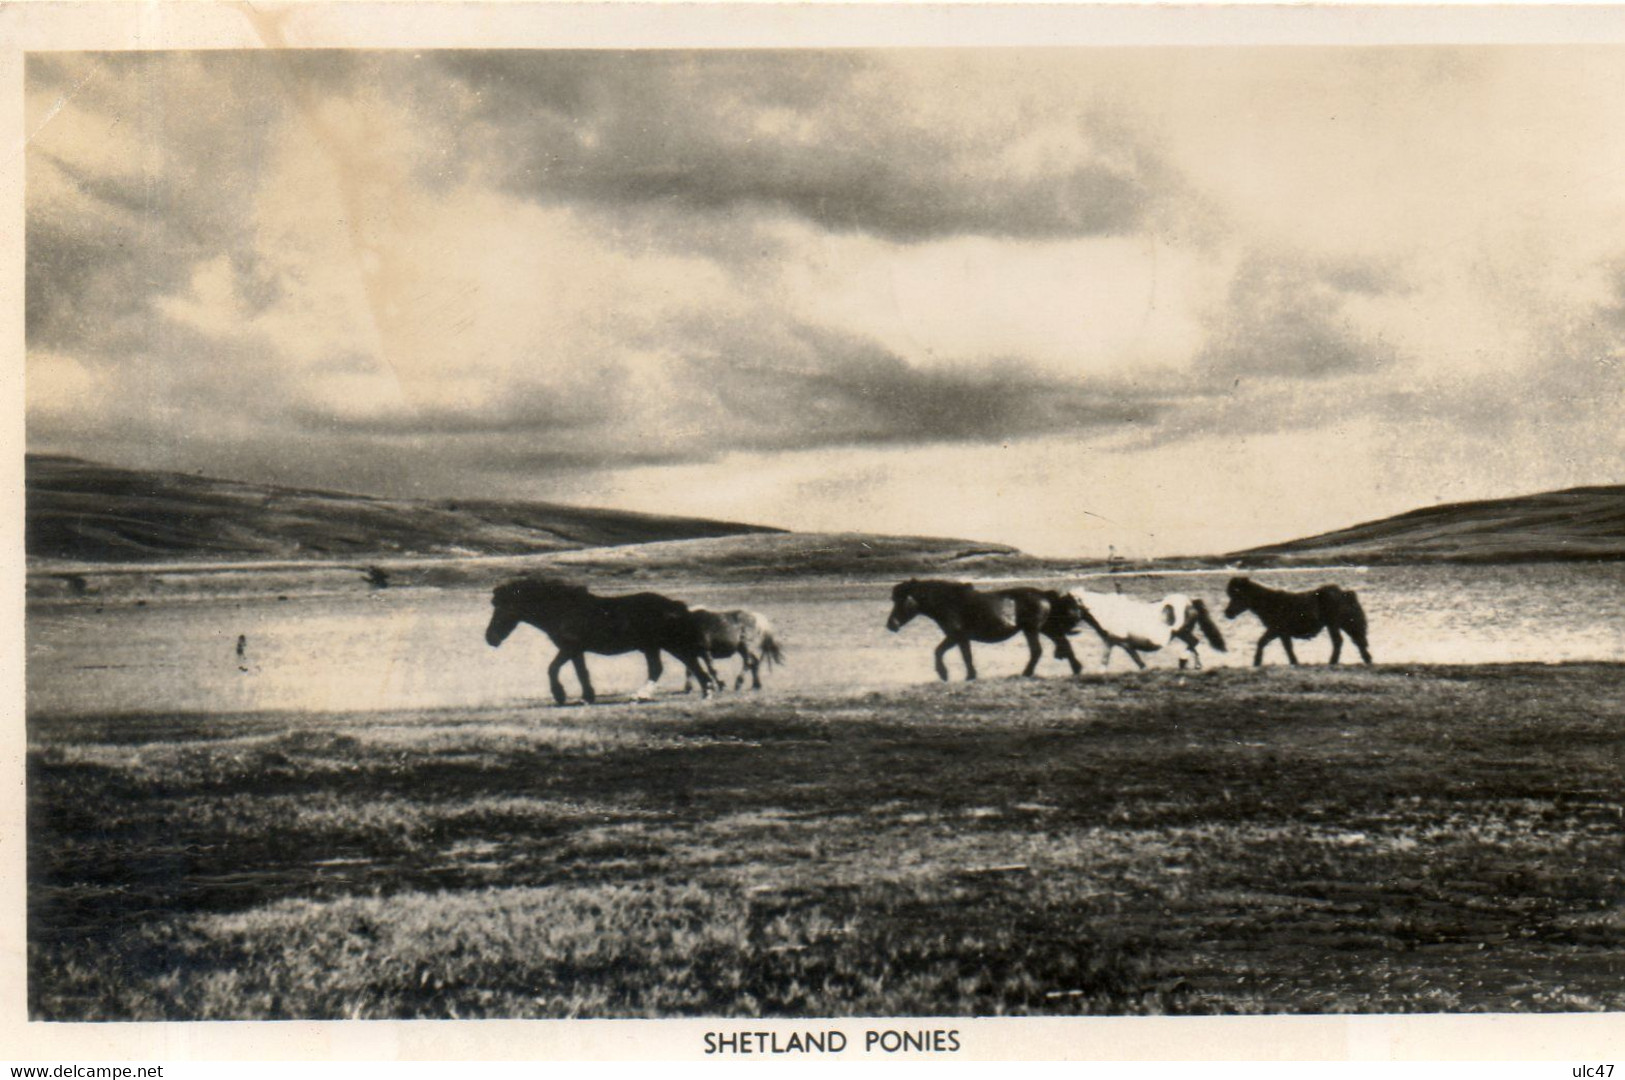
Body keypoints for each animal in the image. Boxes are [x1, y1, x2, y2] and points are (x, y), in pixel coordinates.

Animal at [481, 578, 711, 704]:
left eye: (502, 609)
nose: (490, 637)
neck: (563, 610)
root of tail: (675, 605)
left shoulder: (569, 648)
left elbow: (553, 669)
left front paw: (561, 695)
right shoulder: (575, 651)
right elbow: (580, 672)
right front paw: (587, 696)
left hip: (668, 644)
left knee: (683, 665)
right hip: (653, 646)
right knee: (670, 667)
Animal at [884, 578, 1085, 678]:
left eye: (901, 600)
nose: (891, 625)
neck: (949, 602)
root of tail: (1043, 594)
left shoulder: (956, 636)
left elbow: (940, 651)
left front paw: (945, 674)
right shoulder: (961, 638)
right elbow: (964, 656)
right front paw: (970, 675)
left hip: (1032, 629)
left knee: (1037, 650)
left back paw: (1026, 673)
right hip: (1045, 628)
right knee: (1063, 642)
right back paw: (1076, 668)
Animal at [1072, 584, 1222, 669]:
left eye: (1069, 603)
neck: (1109, 612)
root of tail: (1190, 601)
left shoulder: (1118, 641)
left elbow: (1109, 660)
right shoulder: (1118, 642)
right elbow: (1138, 662)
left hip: (1182, 632)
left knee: (1194, 642)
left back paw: (1184, 661)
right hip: (1183, 632)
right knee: (1193, 643)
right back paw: (1195, 665)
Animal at [1222, 571, 1371, 665]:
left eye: (1238, 595)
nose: (1227, 613)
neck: (1270, 602)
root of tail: (1344, 593)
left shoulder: (1277, 630)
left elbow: (1270, 644)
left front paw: (1257, 662)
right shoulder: (1280, 632)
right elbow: (1279, 646)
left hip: (1333, 624)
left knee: (1339, 641)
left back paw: (1333, 662)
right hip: (1344, 624)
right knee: (1357, 640)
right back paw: (1367, 659)